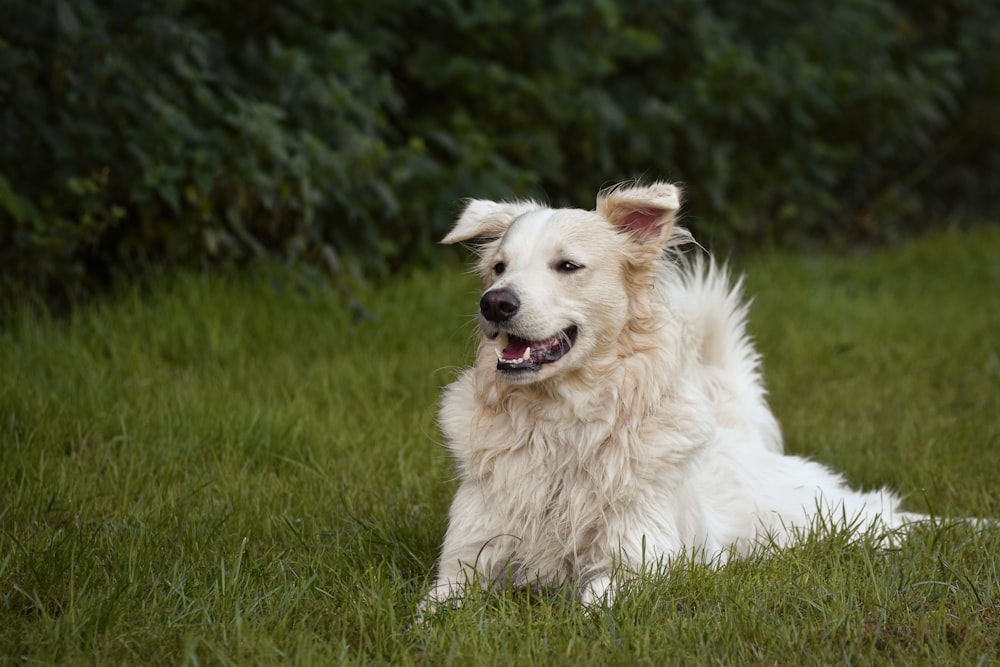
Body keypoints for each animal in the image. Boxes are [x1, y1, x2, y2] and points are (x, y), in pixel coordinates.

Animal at [426, 180, 924, 608]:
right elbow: (430, 613)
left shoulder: (641, 561)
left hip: (814, 514)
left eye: (567, 266)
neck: (560, 425)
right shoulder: (462, 563)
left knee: (878, 510)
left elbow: (591, 604)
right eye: (498, 268)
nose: (494, 302)